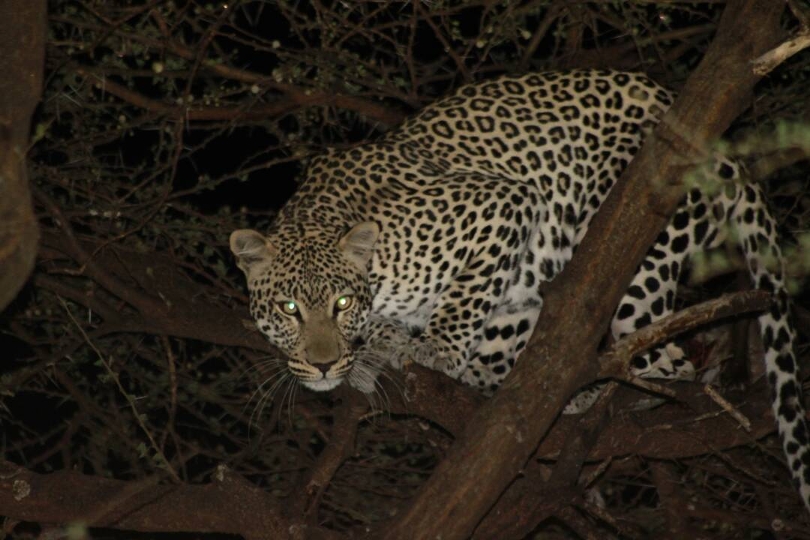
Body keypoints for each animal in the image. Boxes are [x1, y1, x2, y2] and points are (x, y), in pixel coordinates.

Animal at [229, 69, 809, 508]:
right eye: (289, 308)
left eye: (341, 302)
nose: (325, 365)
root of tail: (727, 150)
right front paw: (381, 348)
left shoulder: (500, 204)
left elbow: (460, 305)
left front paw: (432, 349)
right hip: (529, 296)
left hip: (640, 255)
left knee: (667, 365)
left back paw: (597, 395)